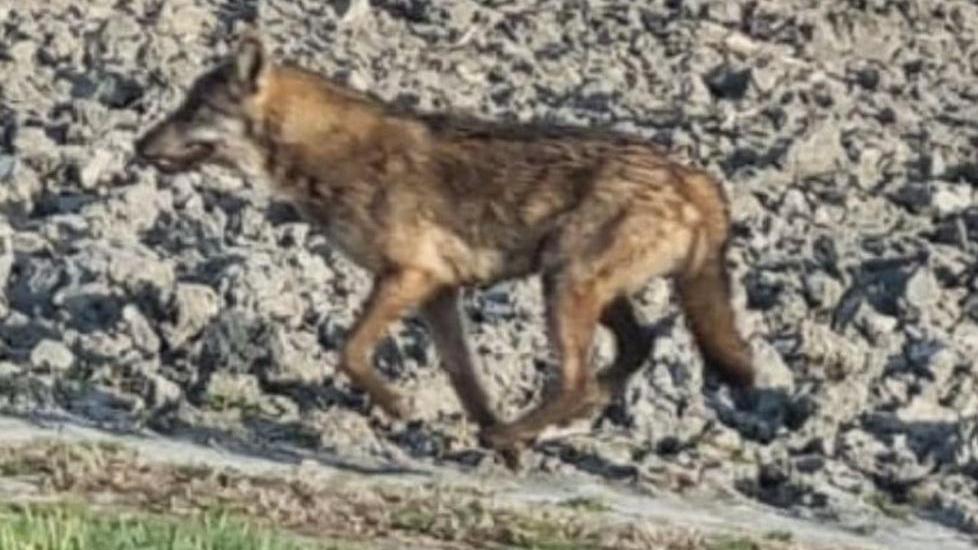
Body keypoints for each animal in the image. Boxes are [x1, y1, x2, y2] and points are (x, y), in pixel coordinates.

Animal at [135, 32, 755, 461]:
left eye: (193, 109)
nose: (138, 145)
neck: (326, 151)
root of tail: (691, 175)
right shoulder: (438, 293)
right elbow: (465, 379)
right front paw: (500, 448)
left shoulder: (408, 277)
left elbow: (349, 351)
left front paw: (403, 407)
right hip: (584, 289)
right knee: (634, 350)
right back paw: (543, 423)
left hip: (565, 285)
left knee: (577, 380)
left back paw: (524, 425)